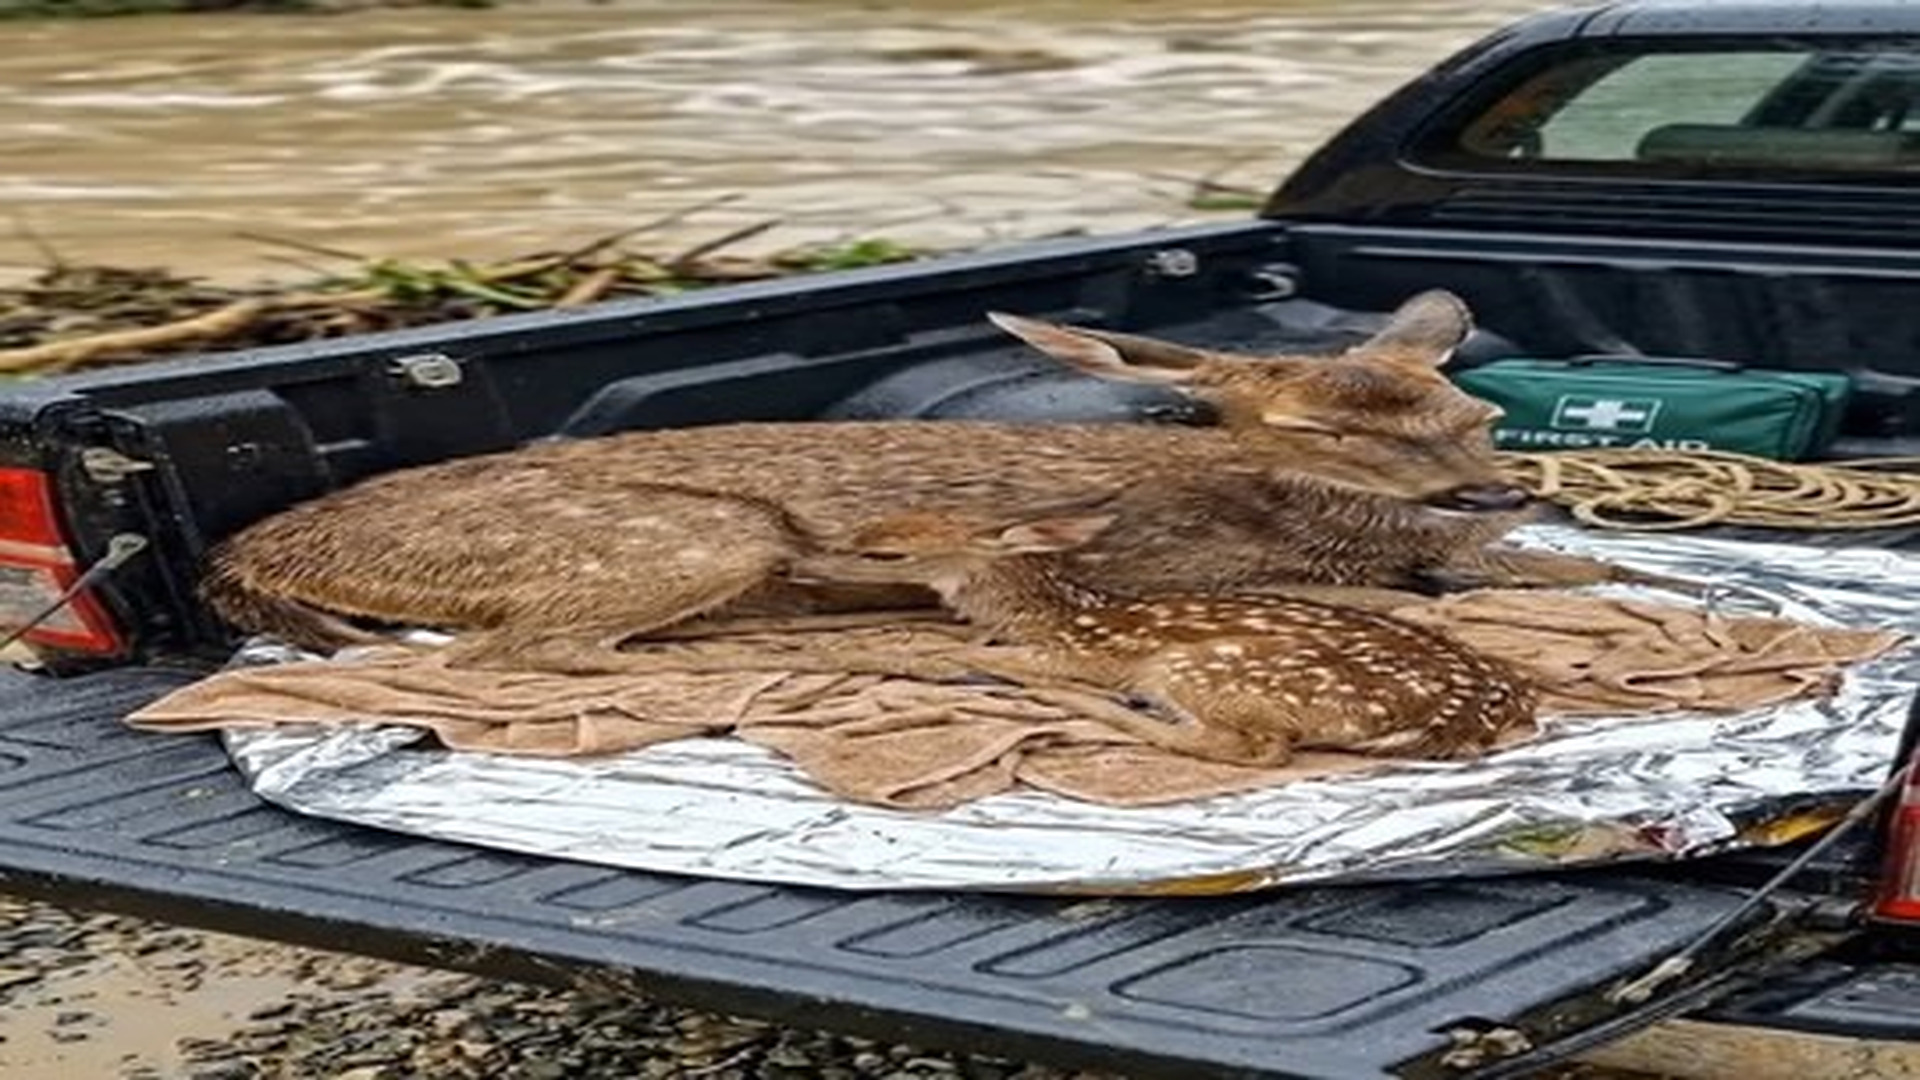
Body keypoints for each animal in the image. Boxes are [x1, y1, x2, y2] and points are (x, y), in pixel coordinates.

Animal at [200, 289, 1682, 670]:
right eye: (1317, 430)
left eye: (1475, 412)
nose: (1494, 494)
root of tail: (251, 551)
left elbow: (1604, 568)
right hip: (690, 541)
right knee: (516, 655)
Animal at [783, 507, 1538, 766]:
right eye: (864, 529)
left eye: (887, 553)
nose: (798, 564)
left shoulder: (1073, 650)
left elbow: (941, 652)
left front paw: (840, 650)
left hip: (1201, 669)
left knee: (1253, 749)